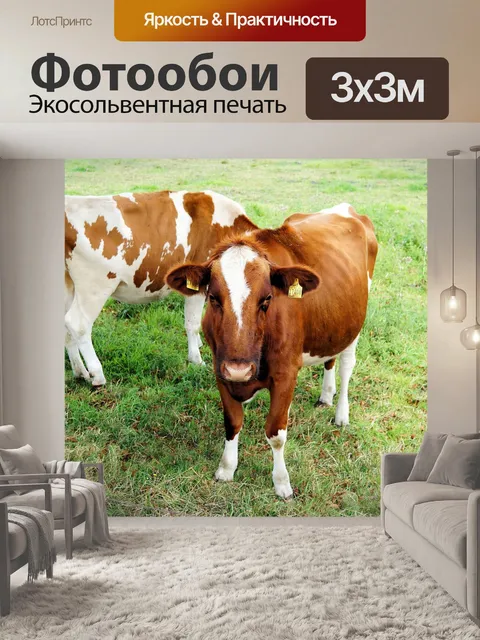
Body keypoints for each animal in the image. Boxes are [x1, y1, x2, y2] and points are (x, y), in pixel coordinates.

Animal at [65, 190, 257, 386]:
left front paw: (200, 344)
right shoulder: (199, 284)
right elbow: (193, 323)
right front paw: (196, 360)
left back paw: (80, 371)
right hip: (95, 286)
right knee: (78, 324)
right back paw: (97, 374)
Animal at [166, 203, 378, 499]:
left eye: (266, 300)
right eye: (213, 298)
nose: (240, 369)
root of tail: (345, 208)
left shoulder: (286, 374)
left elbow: (276, 433)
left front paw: (281, 482)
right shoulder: (220, 369)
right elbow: (232, 422)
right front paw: (226, 468)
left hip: (355, 325)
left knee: (347, 366)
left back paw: (341, 414)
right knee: (329, 360)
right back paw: (326, 395)